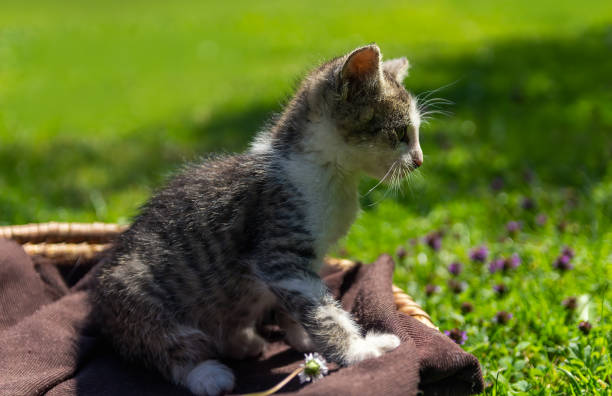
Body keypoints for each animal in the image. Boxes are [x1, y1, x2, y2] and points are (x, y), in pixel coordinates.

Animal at [93, 44, 424, 394]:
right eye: (401, 132)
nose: (419, 160)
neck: (332, 175)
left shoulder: (303, 263)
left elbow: (298, 307)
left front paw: (304, 339)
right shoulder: (280, 253)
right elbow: (323, 312)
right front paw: (359, 351)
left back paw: (242, 342)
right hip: (135, 293)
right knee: (164, 345)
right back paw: (206, 374)